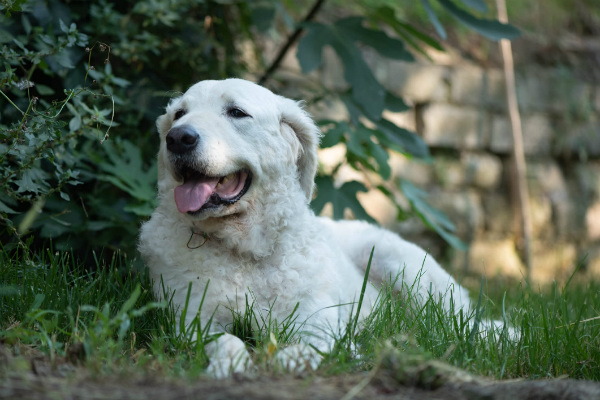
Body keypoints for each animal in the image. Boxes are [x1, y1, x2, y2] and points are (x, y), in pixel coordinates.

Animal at [141, 79, 478, 378]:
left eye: (236, 112)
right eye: (179, 114)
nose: (178, 138)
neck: (245, 252)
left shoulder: (316, 323)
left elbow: (309, 347)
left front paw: (286, 360)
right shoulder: (191, 319)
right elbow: (226, 341)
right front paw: (229, 365)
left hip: (403, 265)